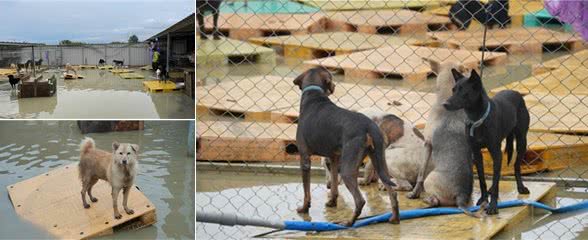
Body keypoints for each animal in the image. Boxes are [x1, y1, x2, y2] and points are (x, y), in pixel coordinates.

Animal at [292, 66, 400, 226]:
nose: (335, 86)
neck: (314, 95)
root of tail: (369, 126)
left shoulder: (305, 157)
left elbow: (307, 192)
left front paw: (304, 208)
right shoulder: (334, 158)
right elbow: (334, 187)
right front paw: (332, 202)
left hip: (348, 169)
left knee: (360, 200)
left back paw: (349, 223)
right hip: (379, 161)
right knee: (392, 191)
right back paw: (394, 219)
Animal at [444, 68, 532, 215]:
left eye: (464, 92)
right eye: (453, 90)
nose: (445, 104)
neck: (477, 119)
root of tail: (515, 92)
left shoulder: (496, 152)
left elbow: (496, 182)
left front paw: (493, 206)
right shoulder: (476, 153)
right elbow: (482, 179)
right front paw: (483, 199)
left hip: (521, 141)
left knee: (516, 166)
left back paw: (521, 187)